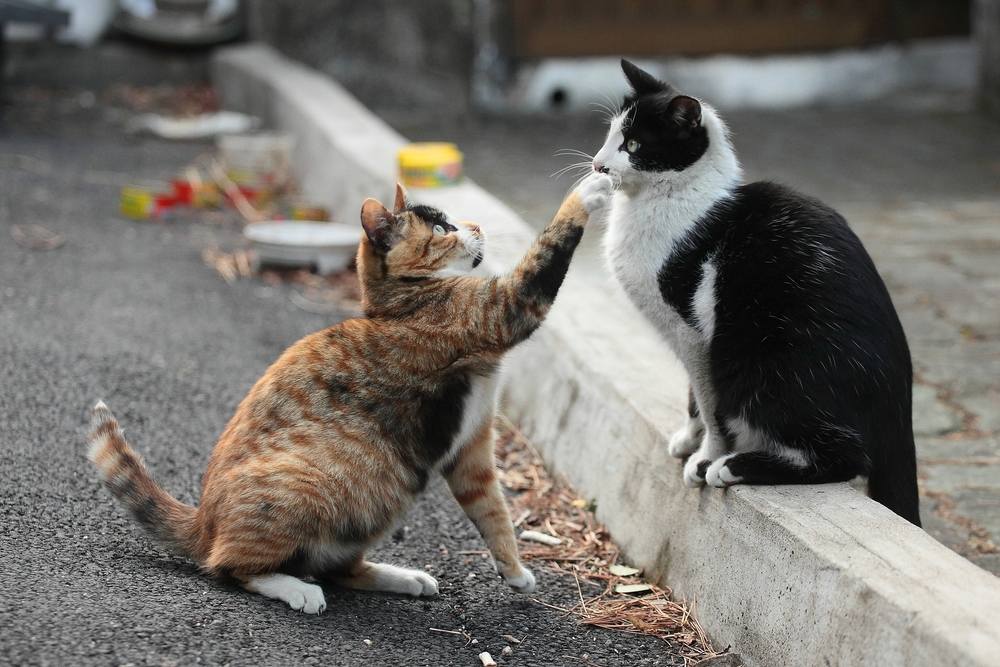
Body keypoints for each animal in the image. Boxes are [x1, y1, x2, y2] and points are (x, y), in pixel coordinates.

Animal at [90, 175, 612, 612]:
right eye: (440, 227)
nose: (475, 225)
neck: (403, 301)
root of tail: (202, 523)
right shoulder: (508, 306)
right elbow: (547, 250)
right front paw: (588, 189)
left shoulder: (472, 450)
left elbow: (493, 512)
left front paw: (515, 572)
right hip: (308, 486)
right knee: (231, 567)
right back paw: (295, 589)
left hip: (379, 501)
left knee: (339, 569)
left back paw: (401, 577)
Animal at [592, 60, 920, 528]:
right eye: (610, 135)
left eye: (633, 144)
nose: (598, 165)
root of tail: (899, 398)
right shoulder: (688, 340)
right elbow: (694, 397)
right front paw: (688, 438)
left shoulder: (694, 333)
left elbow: (711, 403)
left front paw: (706, 456)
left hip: (761, 365)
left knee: (847, 455)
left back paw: (733, 467)